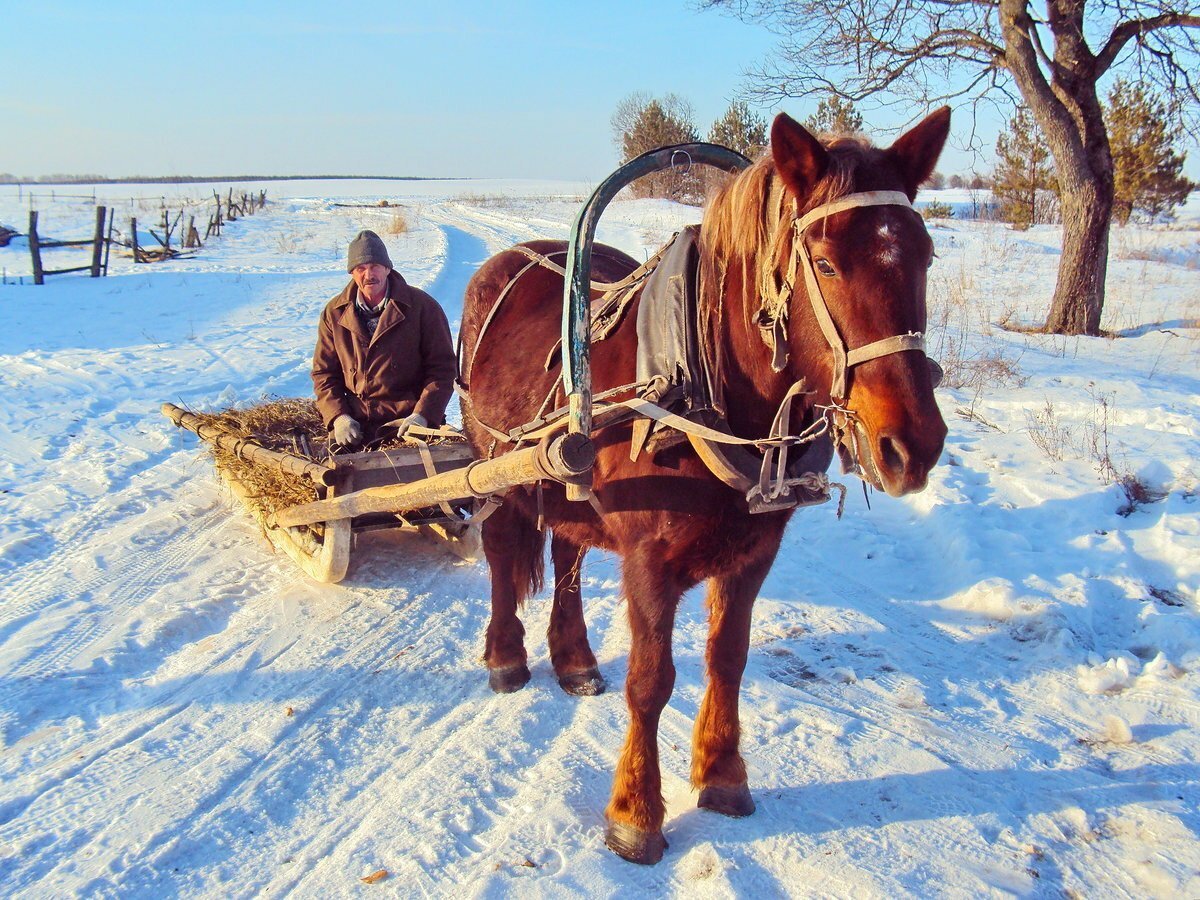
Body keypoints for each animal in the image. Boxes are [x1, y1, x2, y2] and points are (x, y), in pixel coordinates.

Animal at [457, 108, 951, 864]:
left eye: (924, 256)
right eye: (827, 263)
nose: (913, 444)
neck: (701, 389)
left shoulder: (753, 555)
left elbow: (728, 660)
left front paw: (721, 773)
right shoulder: (649, 562)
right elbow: (651, 682)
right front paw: (636, 811)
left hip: (567, 479)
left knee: (567, 553)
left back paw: (573, 657)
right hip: (495, 469)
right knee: (500, 553)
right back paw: (507, 656)